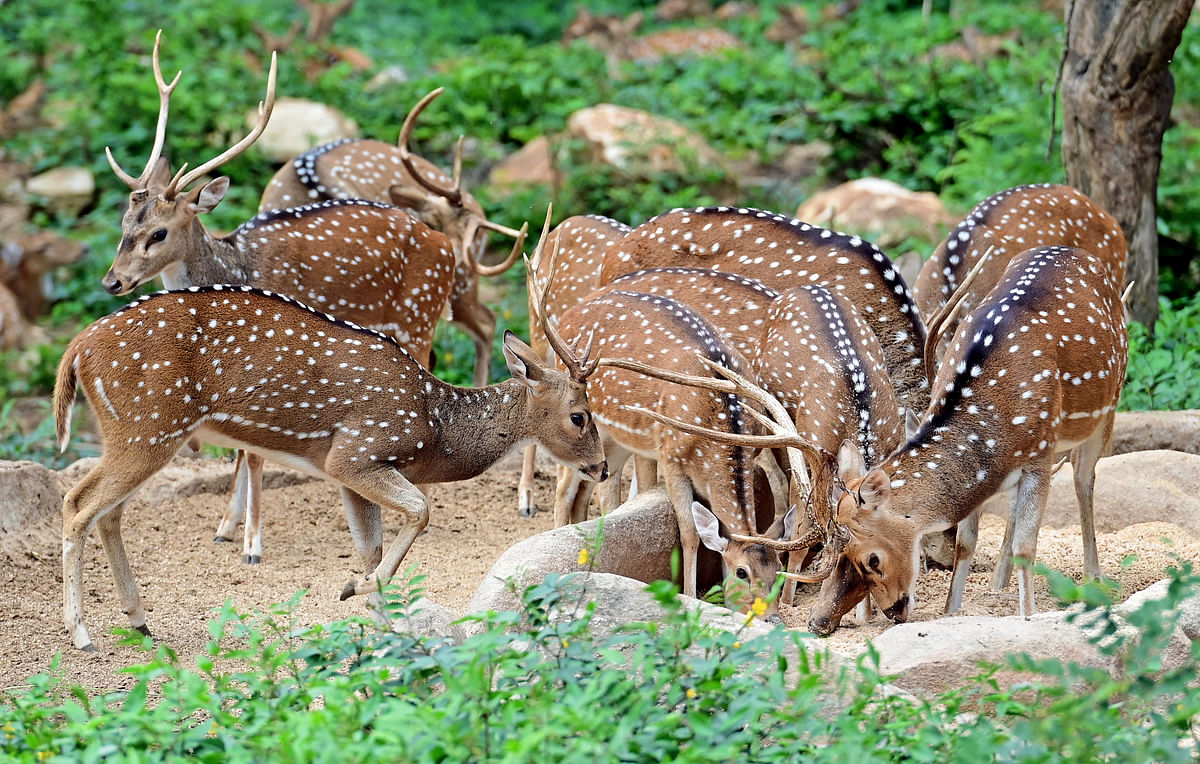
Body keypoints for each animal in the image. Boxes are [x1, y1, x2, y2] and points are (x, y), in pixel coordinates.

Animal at [54, 283, 609, 652]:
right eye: (579, 415)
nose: (602, 468)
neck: (434, 428)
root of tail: (76, 349)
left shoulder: (348, 472)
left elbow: (372, 548)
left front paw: (381, 623)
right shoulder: (357, 452)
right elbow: (420, 510)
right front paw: (355, 590)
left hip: (137, 436)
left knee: (108, 513)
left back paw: (139, 621)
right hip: (146, 428)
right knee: (77, 504)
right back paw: (81, 633)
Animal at [792, 244, 1128, 633]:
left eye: (872, 559)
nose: (893, 611)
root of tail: (1074, 252)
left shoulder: (1040, 454)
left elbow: (1026, 547)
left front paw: (1027, 616)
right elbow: (966, 542)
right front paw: (952, 611)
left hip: (1109, 403)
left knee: (1083, 477)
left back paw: (1093, 577)